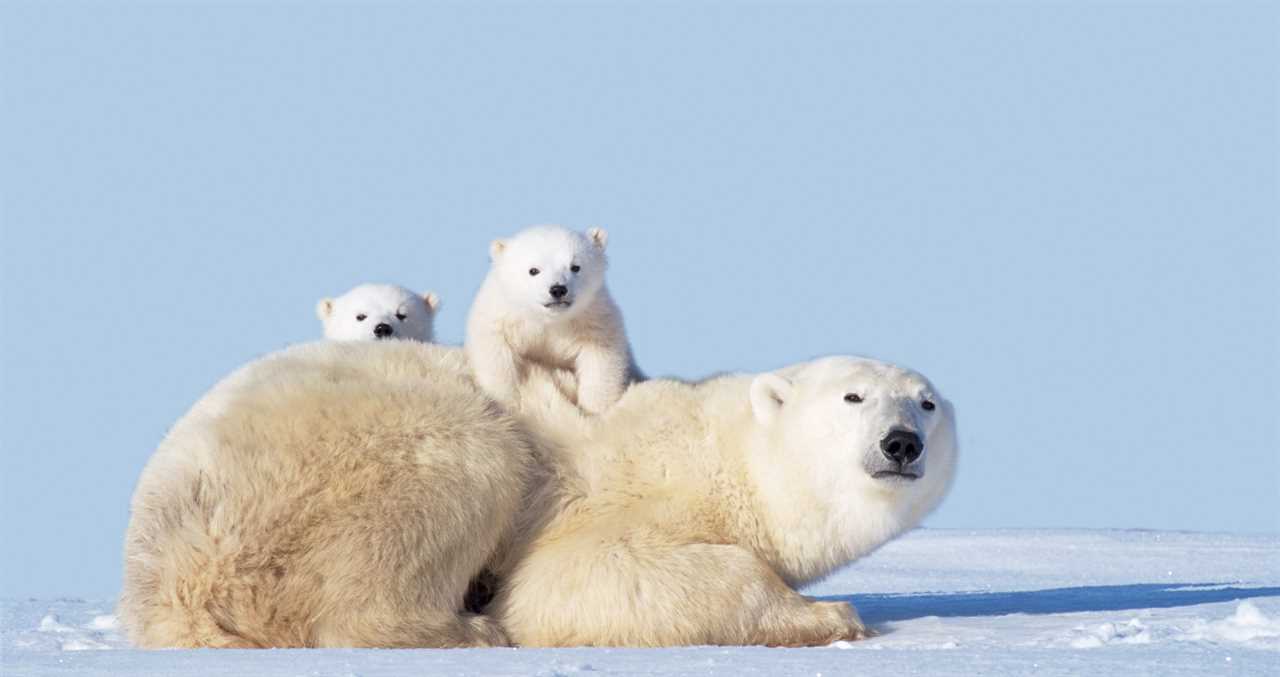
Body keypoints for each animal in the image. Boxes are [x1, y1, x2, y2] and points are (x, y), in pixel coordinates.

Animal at [465, 225, 640, 416]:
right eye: (533, 270)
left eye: (575, 267)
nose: (558, 289)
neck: (549, 320)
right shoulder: (503, 315)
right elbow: (495, 353)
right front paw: (506, 403)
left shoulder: (593, 318)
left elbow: (601, 359)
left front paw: (595, 410)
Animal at [488, 355, 958, 647]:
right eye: (854, 396)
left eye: (927, 403)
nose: (901, 443)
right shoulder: (616, 497)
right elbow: (565, 577)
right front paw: (831, 614)